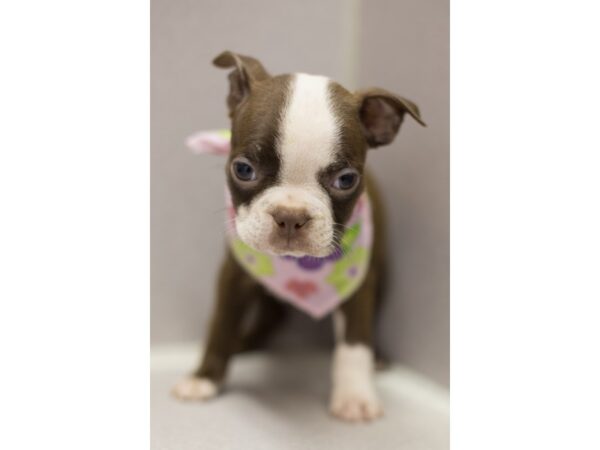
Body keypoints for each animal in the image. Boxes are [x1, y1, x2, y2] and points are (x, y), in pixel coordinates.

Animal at [171, 52, 426, 422]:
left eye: (346, 180)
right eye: (243, 169)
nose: (290, 217)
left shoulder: (359, 284)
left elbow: (355, 342)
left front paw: (355, 397)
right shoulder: (233, 274)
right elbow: (221, 323)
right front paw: (204, 379)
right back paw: (244, 342)